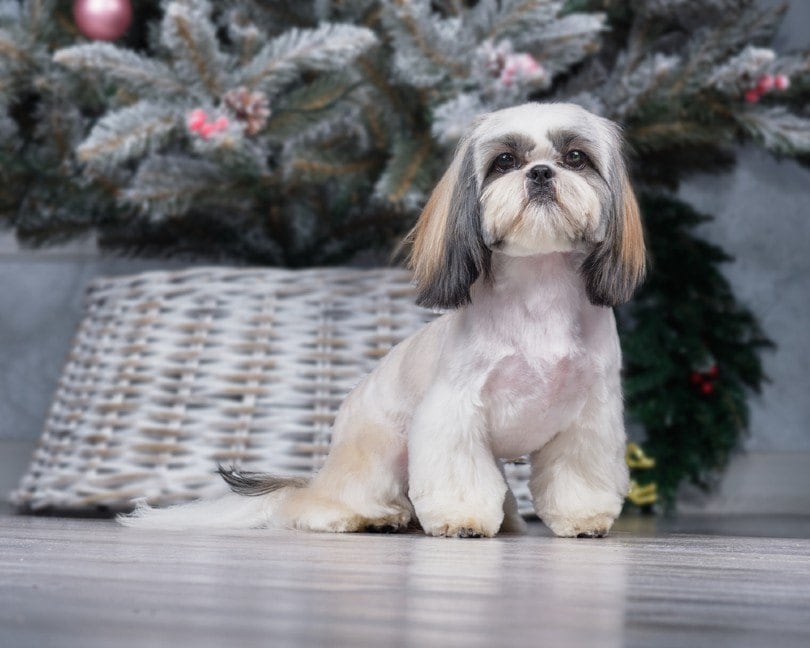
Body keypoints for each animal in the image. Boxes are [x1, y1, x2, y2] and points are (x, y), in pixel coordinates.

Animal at [121, 102, 644, 536]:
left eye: (575, 157)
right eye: (504, 162)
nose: (539, 172)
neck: (539, 294)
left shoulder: (590, 416)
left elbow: (578, 473)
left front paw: (584, 519)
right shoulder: (454, 410)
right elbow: (457, 473)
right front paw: (463, 520)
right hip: (379, 454)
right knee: (319, 503)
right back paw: (365, 517)